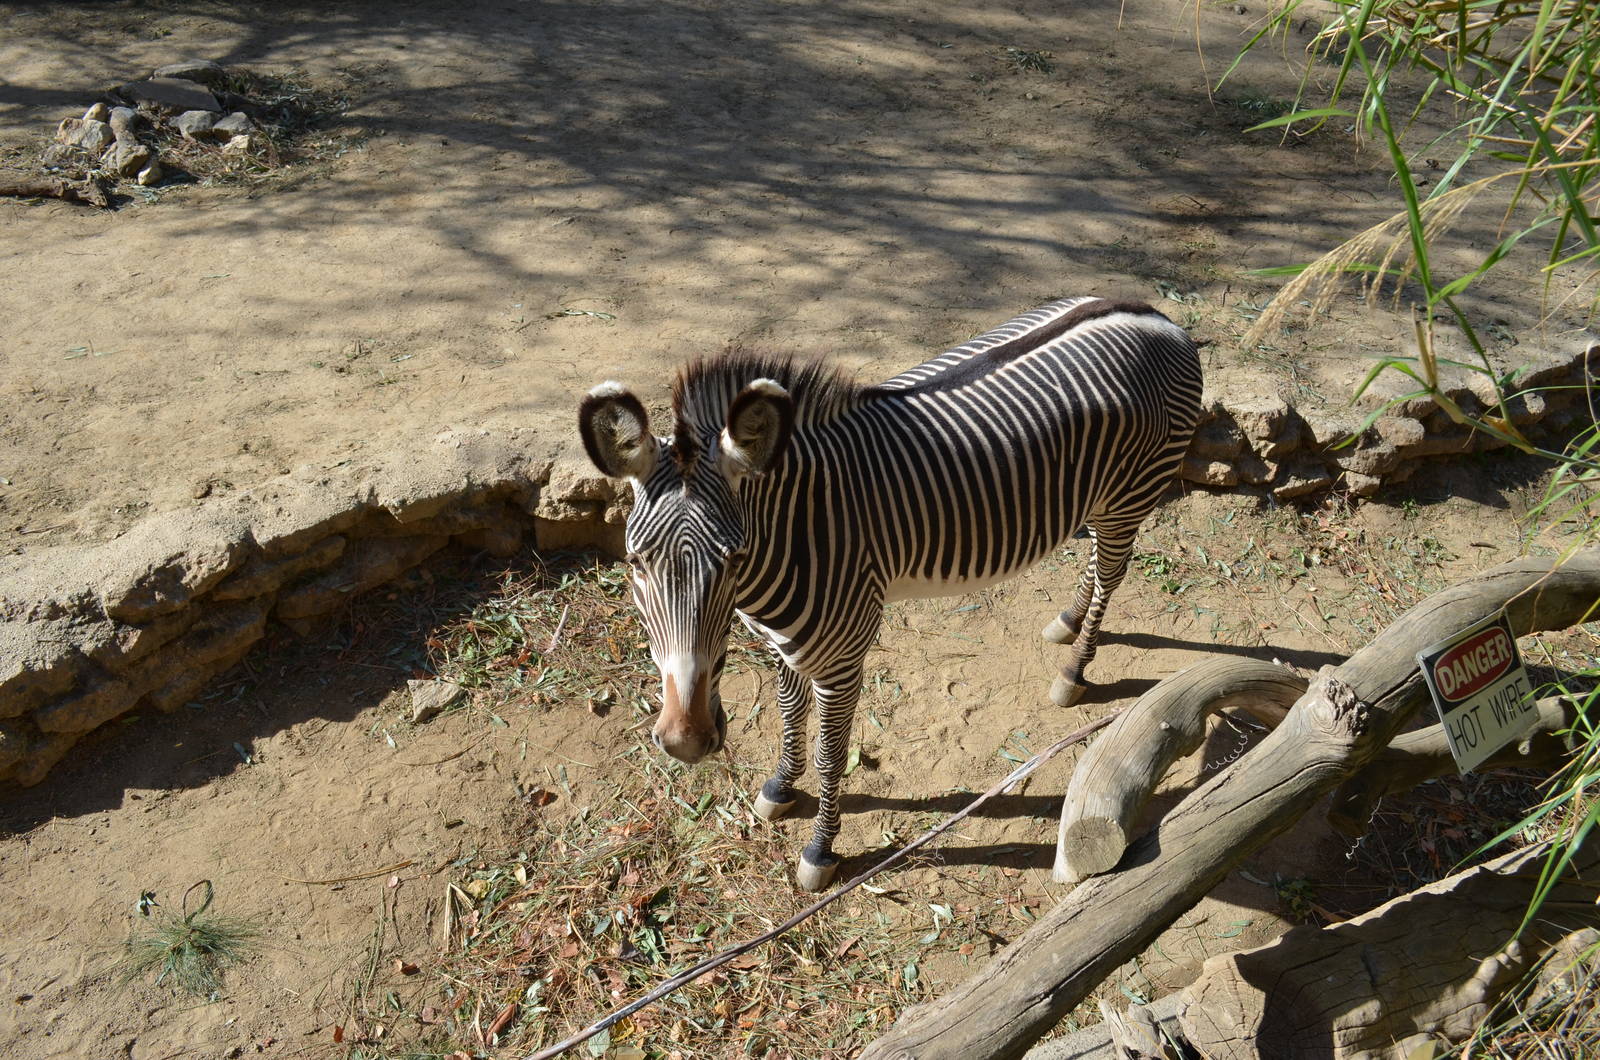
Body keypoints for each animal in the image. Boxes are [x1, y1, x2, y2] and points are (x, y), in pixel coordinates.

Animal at [578, 297, 1203, 890]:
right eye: (635, 562)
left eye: (732, 558)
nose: (685, 742)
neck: (792, 533)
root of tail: (1158, 319)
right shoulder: (779, 641)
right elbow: (788, 712)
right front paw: (781, 785)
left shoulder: (841, 659)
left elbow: (831, 755)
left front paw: (820, 851)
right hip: (1095, 497)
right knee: (1095, 562)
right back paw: (1068, 621)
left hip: (1130, 495)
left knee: (1111, 574)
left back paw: (1075, 669)